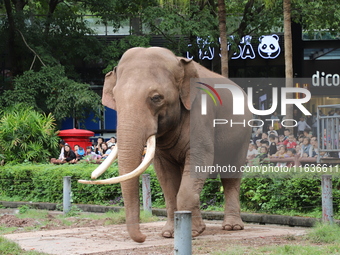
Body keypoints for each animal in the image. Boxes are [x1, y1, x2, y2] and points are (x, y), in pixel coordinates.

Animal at [78, 46, 251, 244]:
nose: (143, 237)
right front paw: (170, 233)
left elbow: (200, 160)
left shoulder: (201, 115)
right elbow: (166, 178)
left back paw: (232, 227)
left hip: (244, 135)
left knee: (231, 176)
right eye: (115, 98)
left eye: (156, 98)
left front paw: (191, 233)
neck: (178, 62)